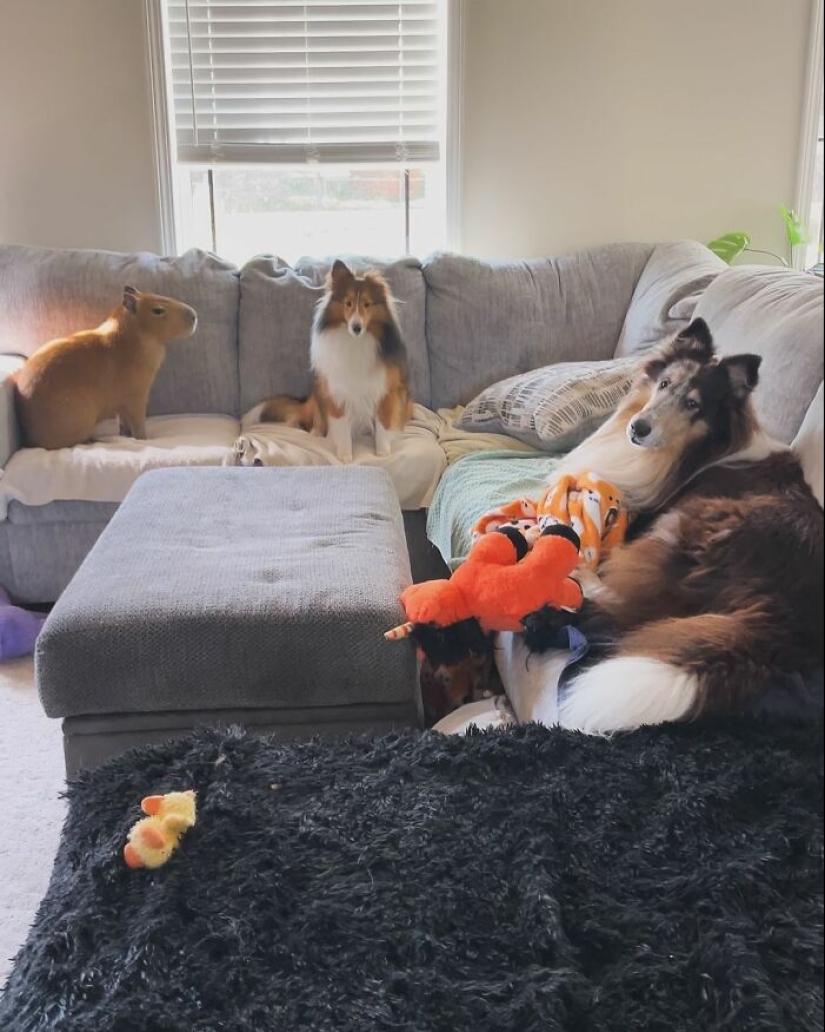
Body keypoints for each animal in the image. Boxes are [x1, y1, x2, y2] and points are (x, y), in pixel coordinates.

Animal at [245, 260, 413, 462]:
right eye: (348, 303)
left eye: (367, 304)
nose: (356, 327)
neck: (356, 342)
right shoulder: (336, 391)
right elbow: (341, 425)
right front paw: (345, 455)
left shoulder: (385, 390)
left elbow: (382, 424)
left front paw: (382, 451)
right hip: (319, 391)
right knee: (313, 418)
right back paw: (317, 431)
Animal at [553, 319, 825, 734]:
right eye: (665, 383)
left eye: (693, 404)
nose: (638, 428)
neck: (696, 450)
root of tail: (789, 614)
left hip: (684, 526)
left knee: (622, 603)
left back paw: (579, 570)